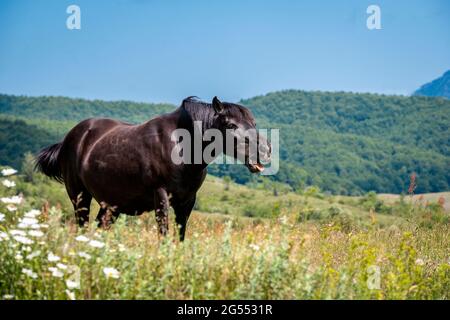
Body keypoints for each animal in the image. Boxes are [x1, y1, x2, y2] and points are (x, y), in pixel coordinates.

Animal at [35, 96, 270, 241]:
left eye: (253, 123)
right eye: (230, 125)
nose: (265, 150)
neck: (181, 145)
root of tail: (70, 138)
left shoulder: (187, 201)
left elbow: (180, 236)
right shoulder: (161, 196)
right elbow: (164, 234)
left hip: (110, 205)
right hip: (80, 196)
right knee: (82, 227)